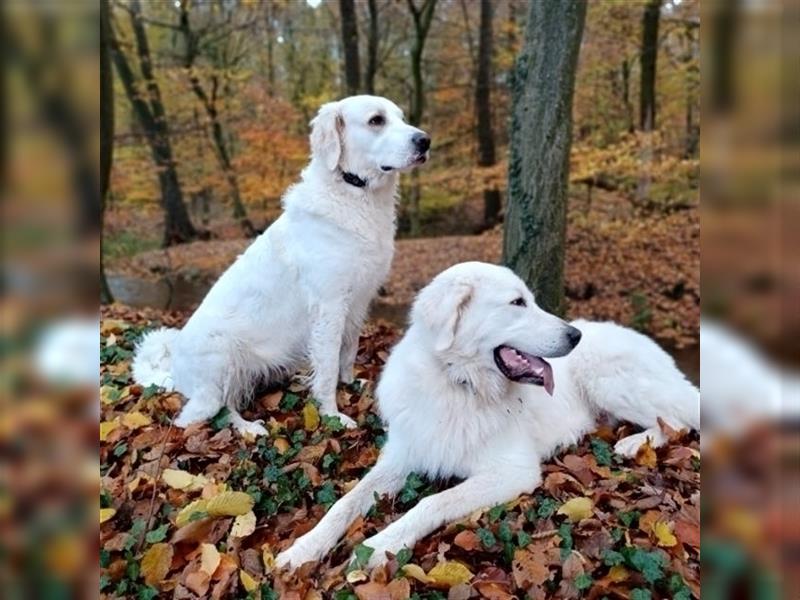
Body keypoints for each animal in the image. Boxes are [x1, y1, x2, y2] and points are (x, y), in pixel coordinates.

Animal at [132, 97, 432, 436]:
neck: (355, 193)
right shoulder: (329, 305)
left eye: (401, 118)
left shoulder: (357, 302)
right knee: (204, 414)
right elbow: (328, 367)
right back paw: (249, 428)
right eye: (376, 120)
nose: (425, 141)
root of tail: (175, 373)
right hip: (222, 356)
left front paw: (351, 384)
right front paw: (333, 414)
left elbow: (347, 352)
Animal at [276, 262, 700, 568]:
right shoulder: (402, 457)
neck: (458, 384)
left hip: (608, 381)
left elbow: (432, 503)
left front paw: (380, 544)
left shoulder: (512, 472)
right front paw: (304, 548)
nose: (574, 336)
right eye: (517, 303)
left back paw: (634, 443)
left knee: (675, 419)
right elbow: (344, 503)